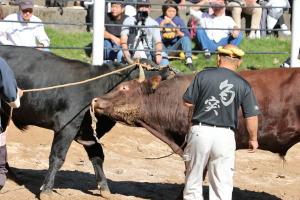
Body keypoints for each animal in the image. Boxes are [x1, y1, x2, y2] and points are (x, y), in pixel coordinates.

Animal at [0, 46, 172, 198]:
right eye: (148, 70)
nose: (169, 70)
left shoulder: (89, 132)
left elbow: (98, 157)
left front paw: (105, 189)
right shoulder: (67, 127)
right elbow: (57, 158)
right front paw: (47, 190)